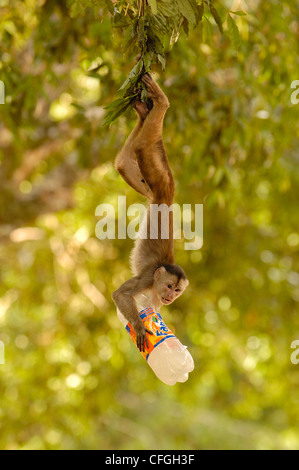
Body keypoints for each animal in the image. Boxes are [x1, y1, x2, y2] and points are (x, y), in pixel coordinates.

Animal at [111, 73, 189, 350]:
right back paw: (161, 104)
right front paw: (138, 327)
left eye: (177, 291)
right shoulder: (146, 280)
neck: (155, 288)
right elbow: (120, 294)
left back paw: (144, 112)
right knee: (144, 147)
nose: (171, 297)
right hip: (161, 181)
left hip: (152, 189)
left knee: (124, 162)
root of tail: (166, 198)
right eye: (169, 286)